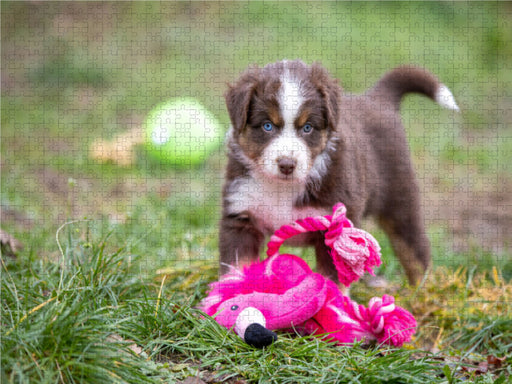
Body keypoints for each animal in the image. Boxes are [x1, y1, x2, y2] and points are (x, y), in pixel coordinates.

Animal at [218, 58, 458, 284]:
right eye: (267, 126)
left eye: (307, 128)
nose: (287, 164)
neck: (282, 189)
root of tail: (377, 98)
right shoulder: (241, 216)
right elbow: (236, 268)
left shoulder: (336, 228)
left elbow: (333, 279)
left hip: (400, 200)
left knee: (416, 253)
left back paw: (422, 292)